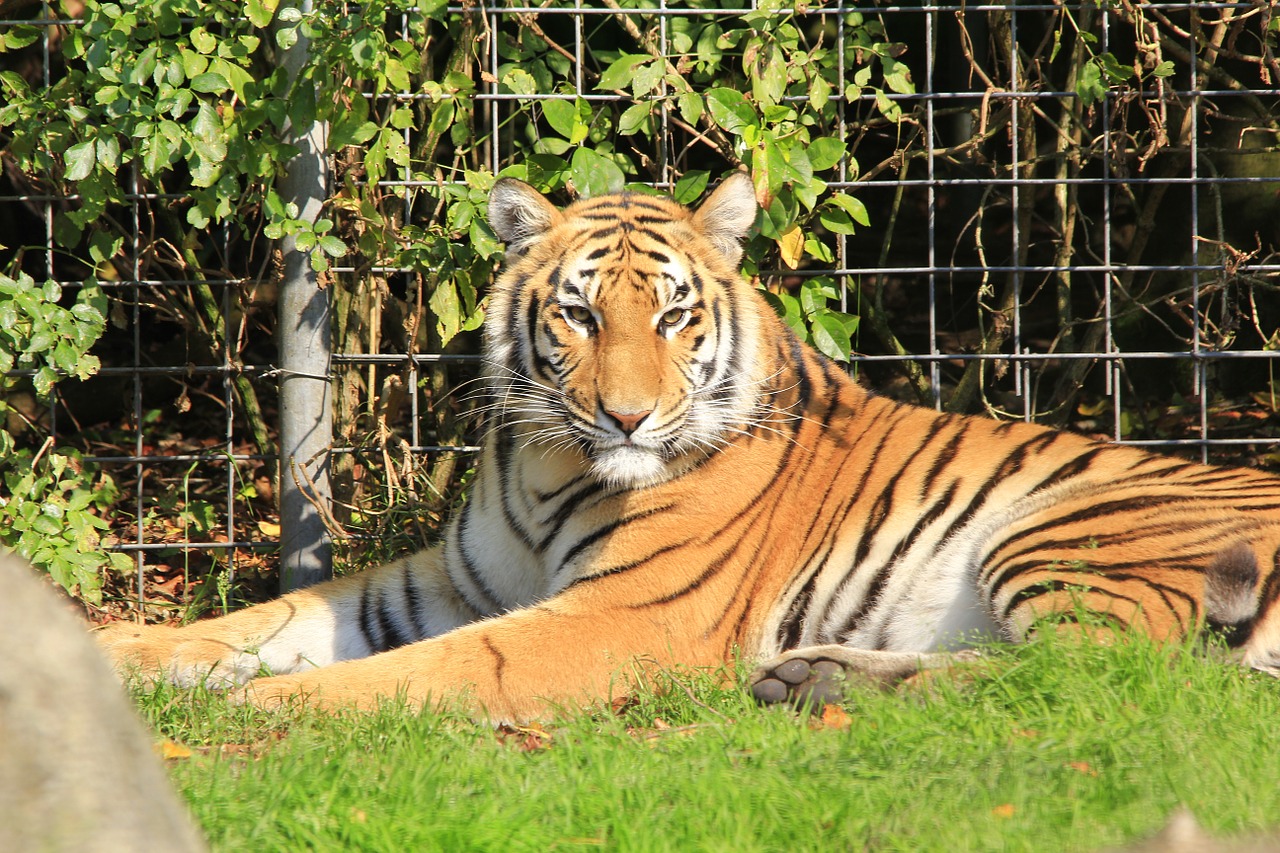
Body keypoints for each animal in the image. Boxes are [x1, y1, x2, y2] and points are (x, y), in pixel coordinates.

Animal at [97, 169, 1280, 712]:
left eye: (671, 317)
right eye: (578, 315)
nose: (625, 416)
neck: (548, 465)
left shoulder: (620, 616)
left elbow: (425, 669)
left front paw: (262, 707)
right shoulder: (438, 583)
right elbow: (256, 622)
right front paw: (115, 656)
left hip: (1069, 528)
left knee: (1103, 676)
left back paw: (819, 684)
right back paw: (809, 675)